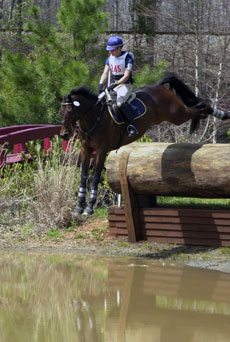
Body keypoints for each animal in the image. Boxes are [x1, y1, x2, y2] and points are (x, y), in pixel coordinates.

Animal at [59, 74, 230, 215]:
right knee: (197, 108)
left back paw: (223, 114)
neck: (94, 119)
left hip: (177, 114)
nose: (64, 134)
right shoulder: (86, 150)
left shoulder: (102, 150)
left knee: (201, 106)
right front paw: (79, 206)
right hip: (172, 116)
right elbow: (83, 176)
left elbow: (94, 177)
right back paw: (207, 116)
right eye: (61, 112)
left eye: (70, 110)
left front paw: (89, 206)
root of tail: (159, 85)